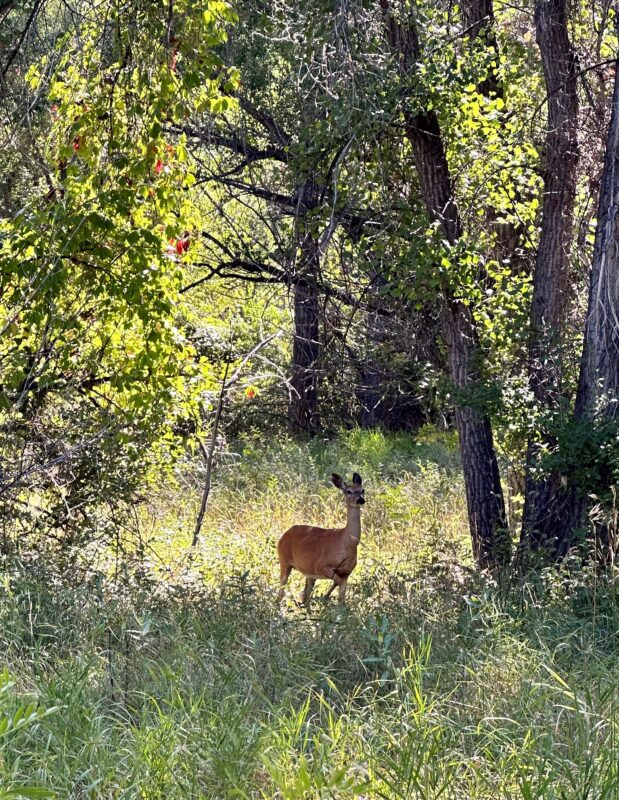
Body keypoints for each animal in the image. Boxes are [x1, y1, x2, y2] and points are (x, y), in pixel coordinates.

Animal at [276, 472, 365, 607]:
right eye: (348, 491)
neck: (346, 543)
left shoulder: (347, 572)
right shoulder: (320, 565)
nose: (361, 500)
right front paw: (325, 598)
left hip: (307, 572)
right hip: (284, 560)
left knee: (306, 593)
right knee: (282, 589)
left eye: (362, 490)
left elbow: (342, 599)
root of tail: (283, 536)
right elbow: (336, 582)